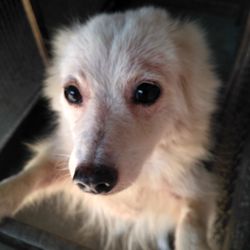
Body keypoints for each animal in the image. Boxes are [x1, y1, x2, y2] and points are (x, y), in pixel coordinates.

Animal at [0, 6, 221, 249]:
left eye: (146, 92)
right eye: (71, 93)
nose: (90, 182)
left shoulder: (197, 187)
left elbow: (192, 227)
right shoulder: (65, 158)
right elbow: (31, 175)